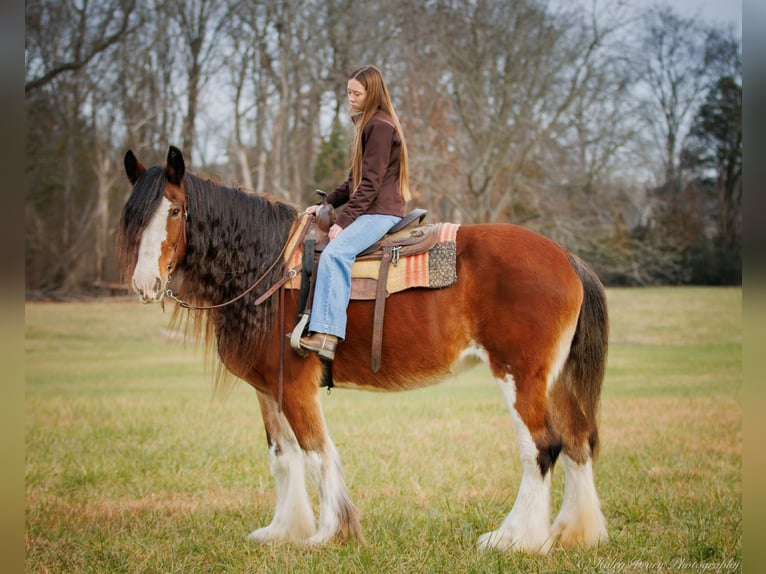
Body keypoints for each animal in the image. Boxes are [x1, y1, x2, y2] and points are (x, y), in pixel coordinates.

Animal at [118, 146, 612, 556]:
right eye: (133, 218)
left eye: (175, 210)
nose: (145, 284)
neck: (270, 268)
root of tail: (567, 258)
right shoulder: (268, 387)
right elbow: (284, 457)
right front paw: (284, 530)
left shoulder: (295, 387)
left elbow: (317, 453)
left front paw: (330, 533)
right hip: (556, 380)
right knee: (577, 441)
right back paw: (572, 532)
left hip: (519, 375)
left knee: (542, 446)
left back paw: (516, 538)